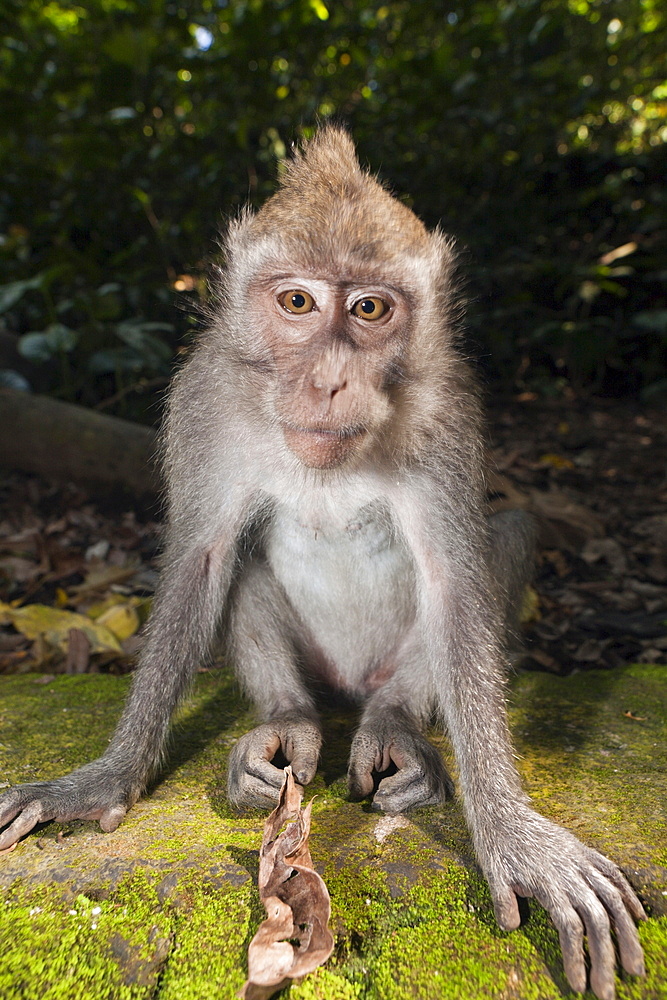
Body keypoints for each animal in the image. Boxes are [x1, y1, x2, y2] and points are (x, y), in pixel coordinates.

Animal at [0, 127, 648, 1000]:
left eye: (369, 308)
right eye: (297, 303)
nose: (331, 379)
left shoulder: (450, 412)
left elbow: (455, 580)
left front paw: (511, 833)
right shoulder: (202, 399)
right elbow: (200, 558)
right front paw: (103, 778)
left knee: (502, 537)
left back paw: (395, 730)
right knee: (243, 567)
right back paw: (286, 724)